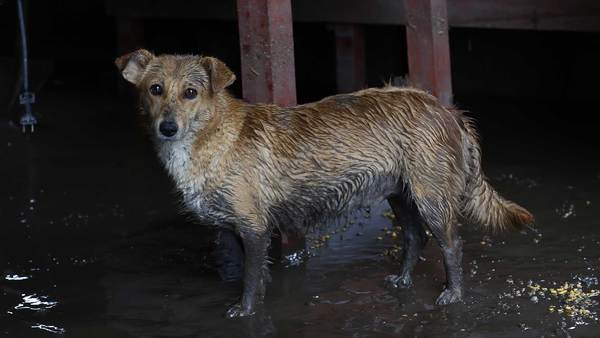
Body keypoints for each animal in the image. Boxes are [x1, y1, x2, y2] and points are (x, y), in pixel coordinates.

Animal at [115, 49, 532, 316]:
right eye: (154, 89)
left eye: (191, 93)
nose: (167, 128)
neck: (211, 134)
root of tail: (446, 109)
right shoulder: (236, 229)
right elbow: (256, 273)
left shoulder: (253, 226)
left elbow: (249, 278)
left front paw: (245, 311)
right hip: (399, 193)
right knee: (415, 237)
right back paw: (401, 280)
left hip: (431, 195)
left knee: (452, 245)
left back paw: (452, 295)